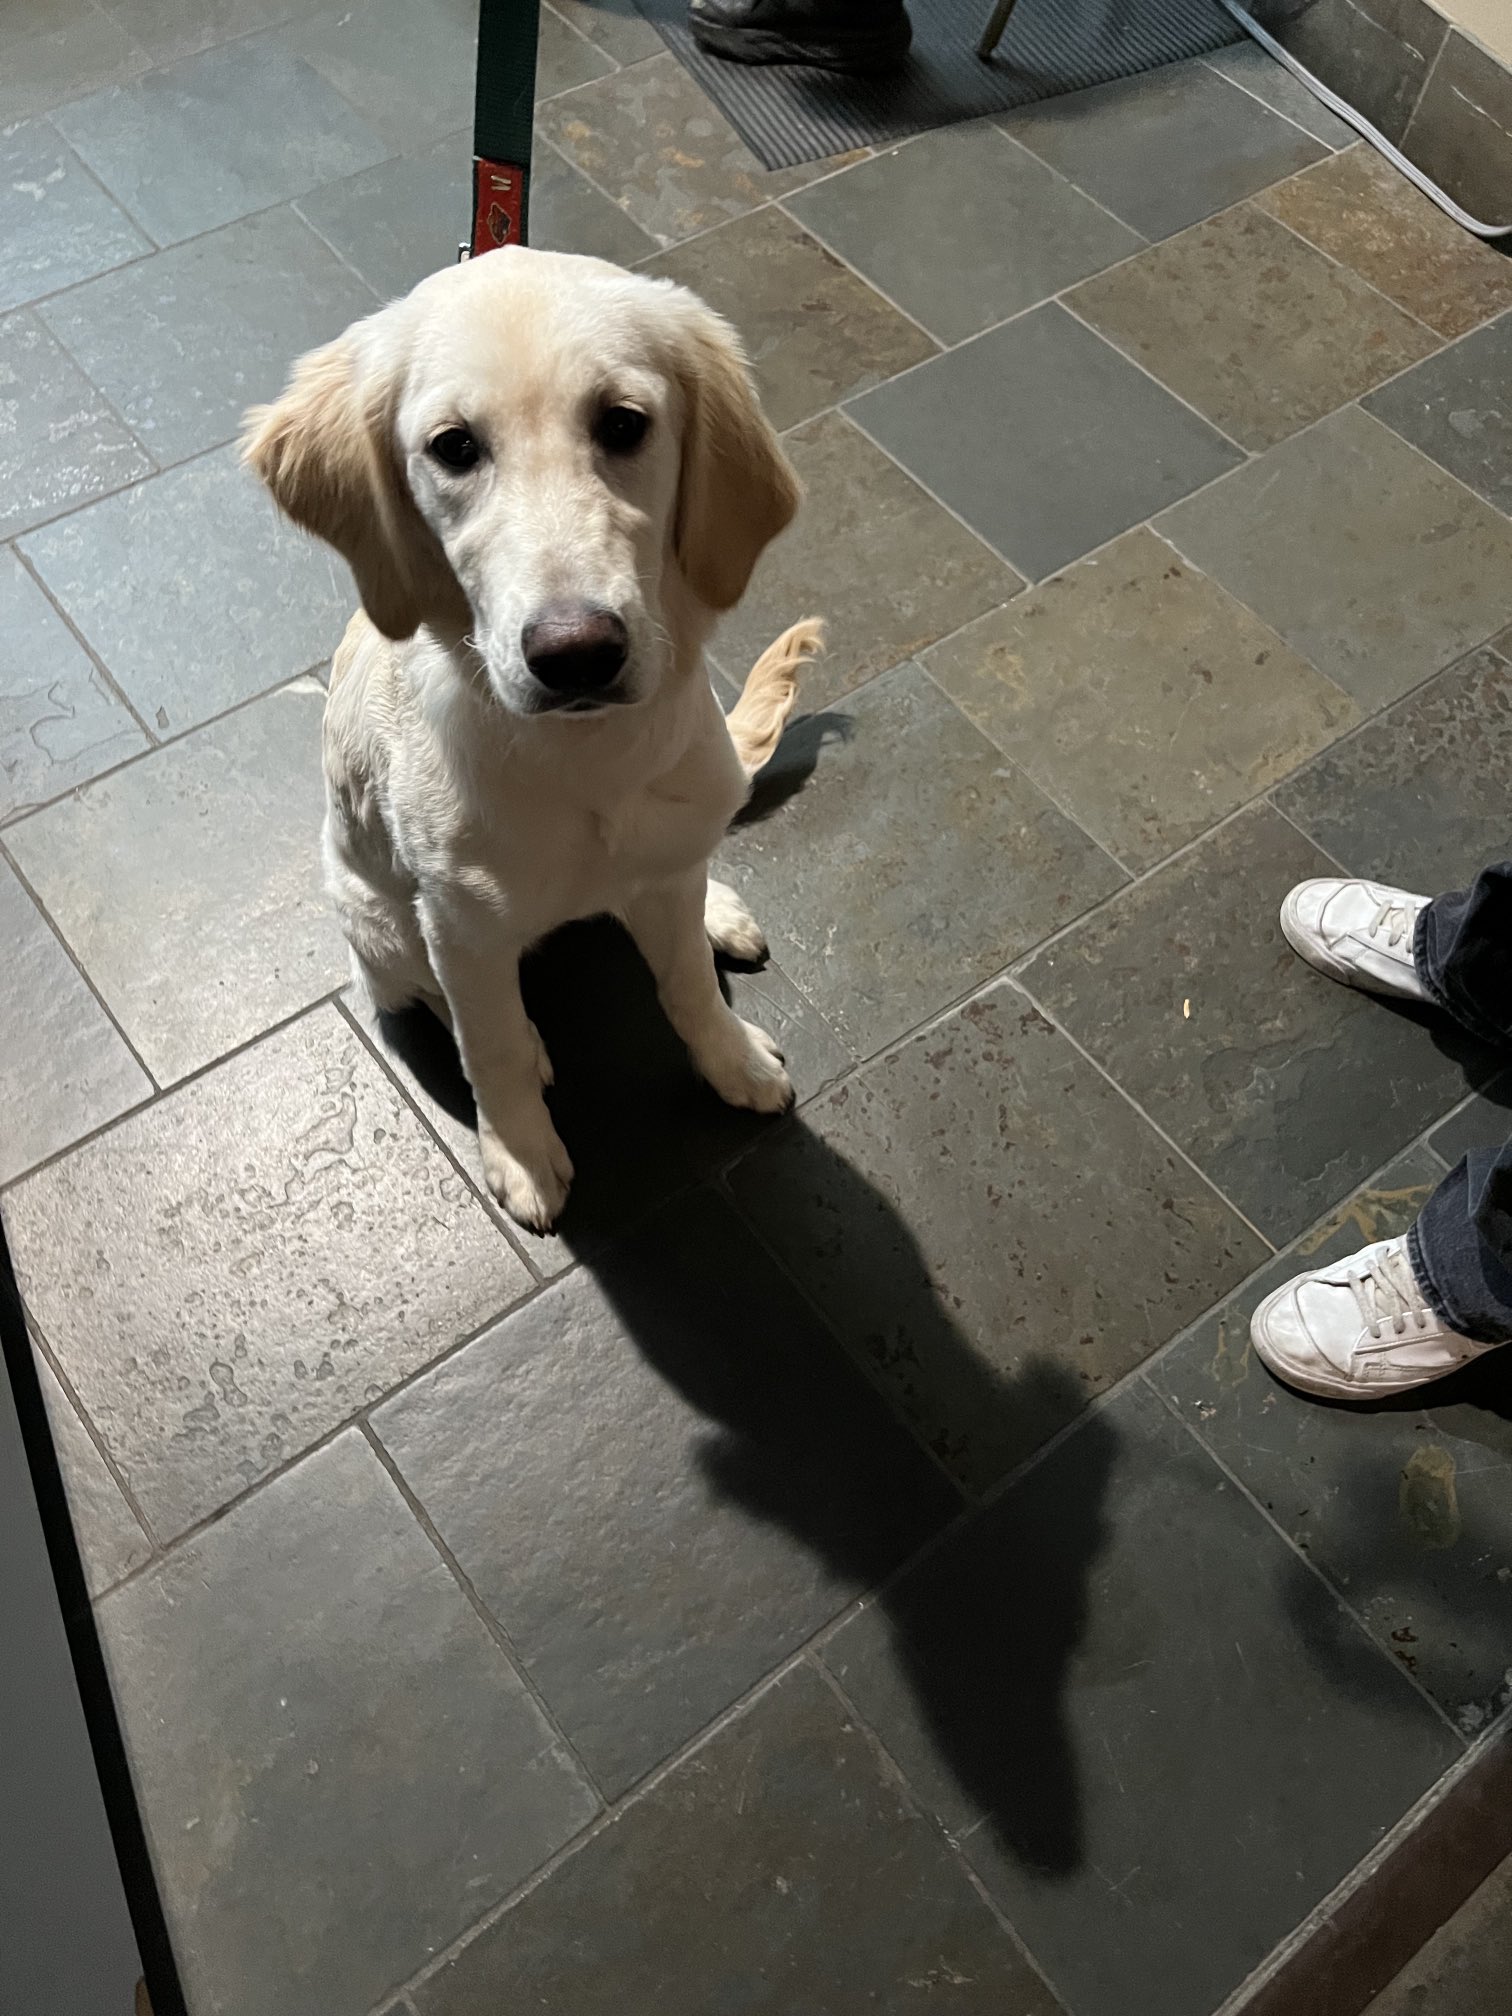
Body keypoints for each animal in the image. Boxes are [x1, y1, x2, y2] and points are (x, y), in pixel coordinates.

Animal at [245, 247, 818, 1225]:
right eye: (453, 447)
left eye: (624, 424)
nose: (577, 654)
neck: (586, 762)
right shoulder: (458, 924)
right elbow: (493, 1042)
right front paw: (517, 1148)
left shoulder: (663, 866)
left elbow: (687, 986)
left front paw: (730, 1059)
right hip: (377, 922)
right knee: (431, 993)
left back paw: (716, 908)